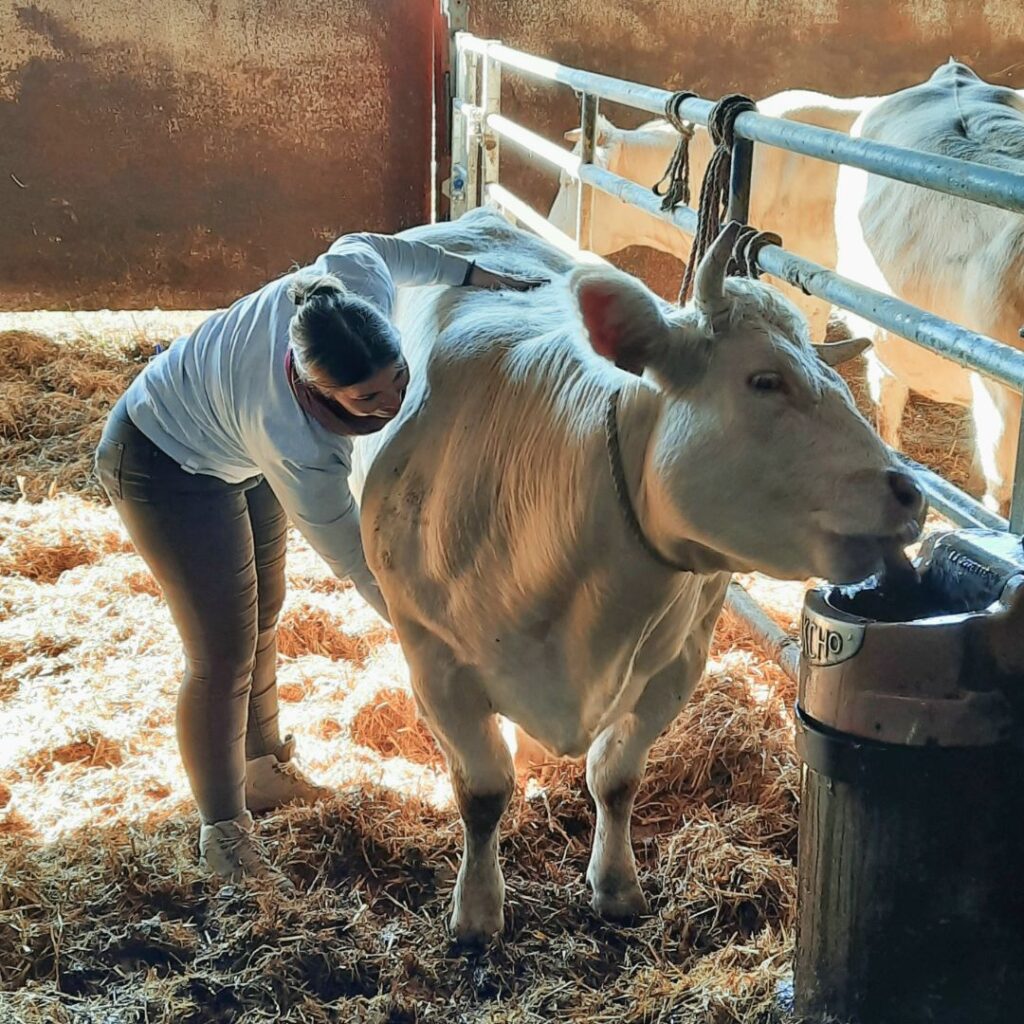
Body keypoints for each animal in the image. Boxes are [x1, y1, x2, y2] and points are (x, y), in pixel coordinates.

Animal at [351, 208, 925, 944]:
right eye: (765, 380)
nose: (910, 493)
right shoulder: (433, 658)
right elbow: (481, 791)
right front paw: (477, 911)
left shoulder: (680, 660)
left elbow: (617, 777)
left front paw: (616, 885)